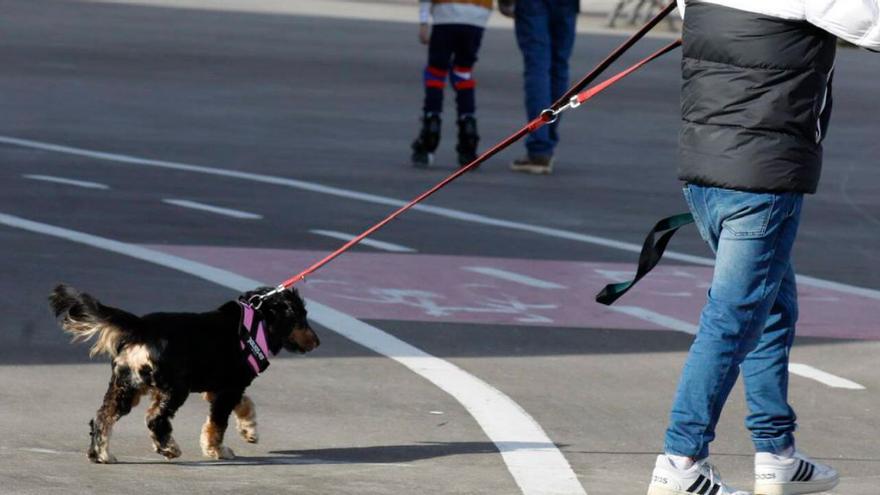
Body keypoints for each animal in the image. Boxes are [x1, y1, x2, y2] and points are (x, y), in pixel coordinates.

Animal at [47, 284, 316, 464]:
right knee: (155, 419)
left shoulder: (220, 388)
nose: (317, 341)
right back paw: (169, 449)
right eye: (301, 318)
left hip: (126, 385)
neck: (258, 320)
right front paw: (216, 450)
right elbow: (218, 423)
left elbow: (244, 404)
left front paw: (249, 430)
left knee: (103, 416)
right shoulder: (228, 389)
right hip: (174, 388)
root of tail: (142, 327)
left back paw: (101, 454)